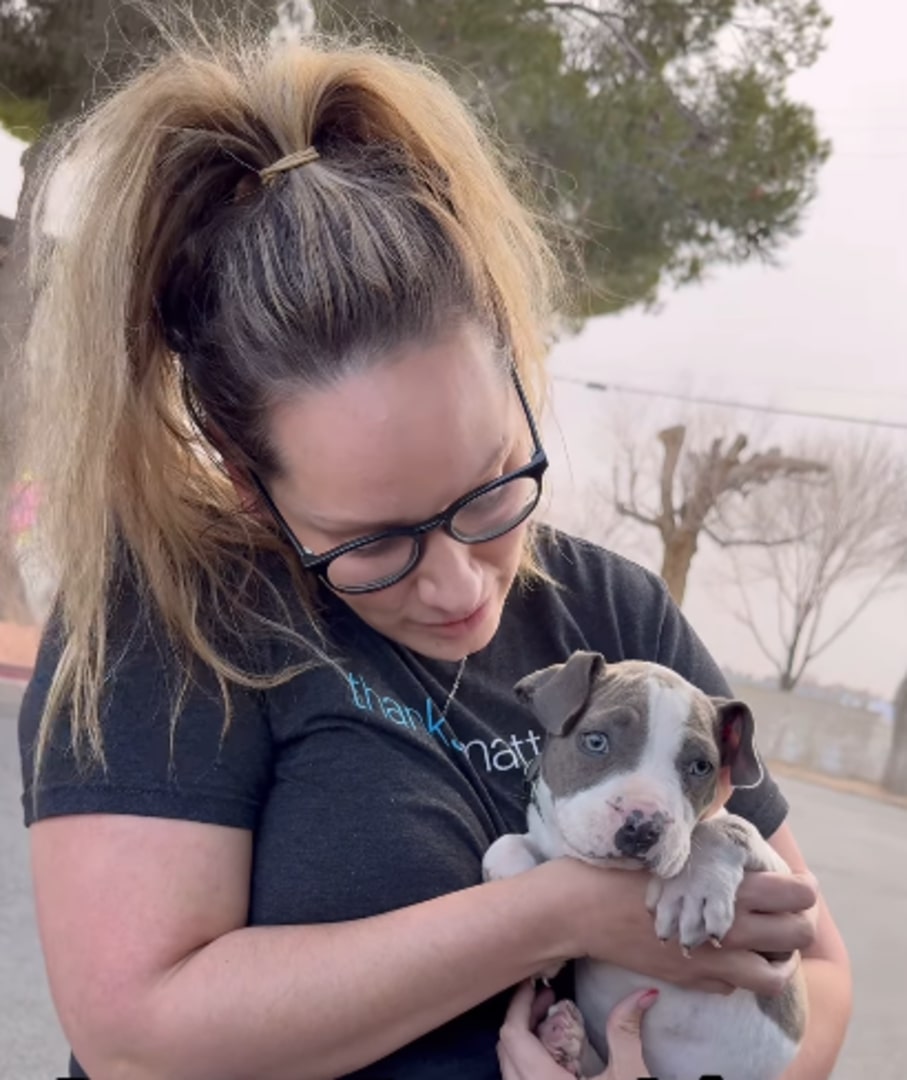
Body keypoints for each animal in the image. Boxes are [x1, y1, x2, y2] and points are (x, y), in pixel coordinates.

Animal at [481, 648, 807, 1080]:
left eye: (701, 767)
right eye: (596, 741)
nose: (644, 825)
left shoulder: (781, 945)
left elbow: (727, 825)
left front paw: (693, 891)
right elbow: (503, 845)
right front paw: (520, 891)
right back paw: (564, 1040)